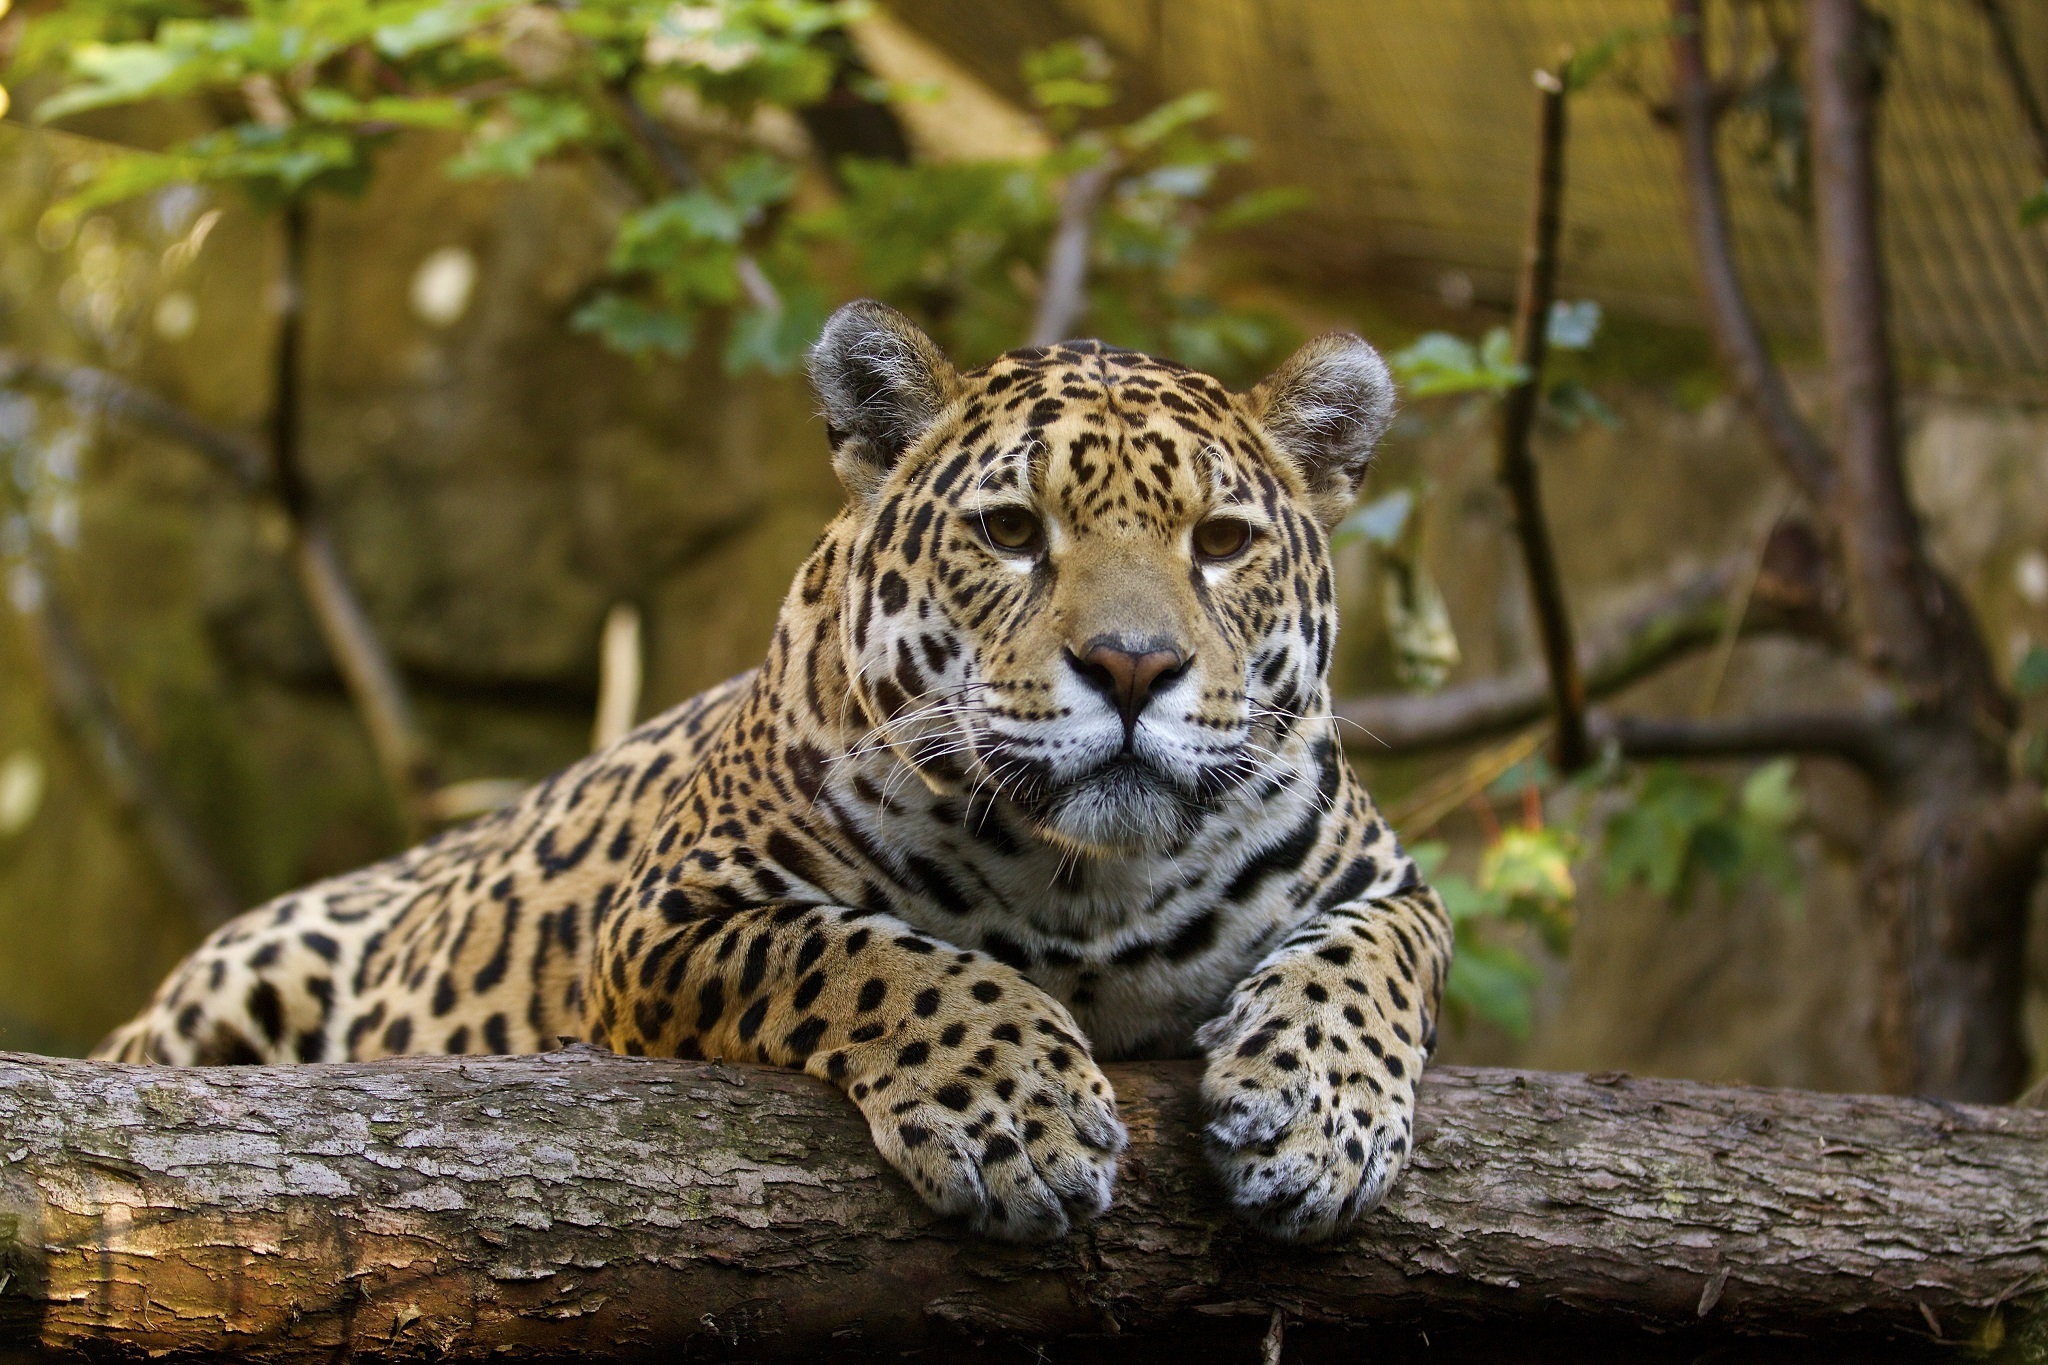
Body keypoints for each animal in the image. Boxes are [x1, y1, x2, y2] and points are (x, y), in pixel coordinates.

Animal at [96, 300, 1452, 1245]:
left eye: (1219, 542)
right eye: (1011, 531)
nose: (1132, 666)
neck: (1089, 889)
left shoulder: (1386, 880)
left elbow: (1367, 961)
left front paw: (1319, 1116)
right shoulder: (668, 920)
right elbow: (866, 956)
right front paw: (1016, 1109)